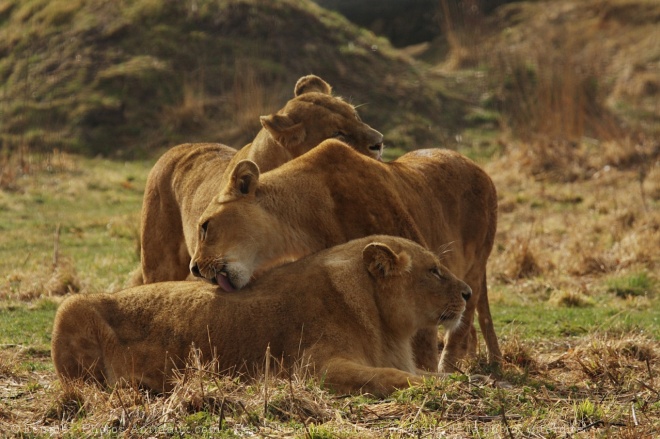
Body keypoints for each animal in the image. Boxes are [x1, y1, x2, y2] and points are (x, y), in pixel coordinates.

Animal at [54, 237, 472, 398]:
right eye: (435, 271)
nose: (468, 292)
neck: (387, 326)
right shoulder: (312, 369)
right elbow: (386, 376)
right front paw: (441, 386)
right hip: (69, 308)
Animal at [189, 139, 500, 372]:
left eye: (205, 226)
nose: (194, 268)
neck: (304, 217)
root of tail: (481, 170)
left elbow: (421, 341)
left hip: (475, 264)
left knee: (464, 318)